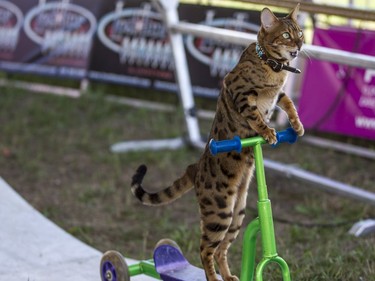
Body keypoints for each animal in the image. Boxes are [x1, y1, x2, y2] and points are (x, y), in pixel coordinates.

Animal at [132, 4, 306, 280]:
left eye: (299, 32)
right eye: (287, 35)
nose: (299, 45)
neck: (274, 67)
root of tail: (194, 168)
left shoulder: (279, 94)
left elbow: (289, 103)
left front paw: (297, 126)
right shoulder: (240, 92)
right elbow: (256, 116)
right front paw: (268, 132)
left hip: (237, 213)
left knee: (221, 248)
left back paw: (228, 275)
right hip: (219, 210)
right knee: (205, 249)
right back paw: (213, 276)